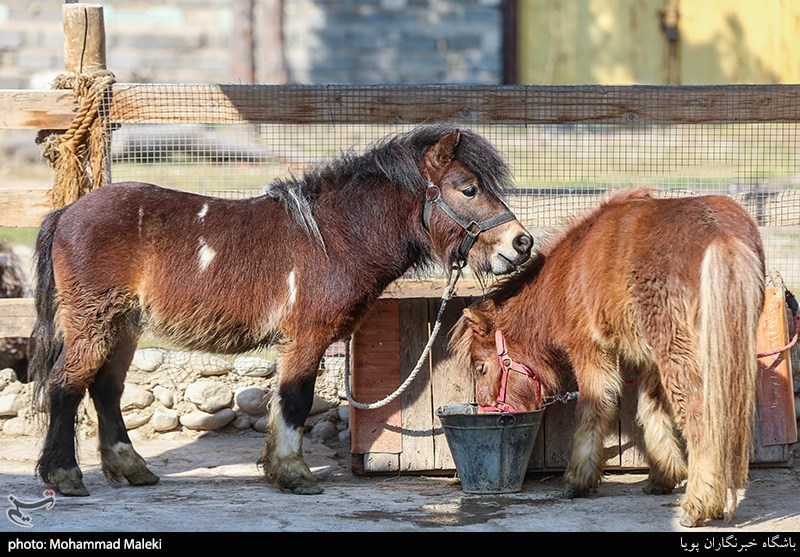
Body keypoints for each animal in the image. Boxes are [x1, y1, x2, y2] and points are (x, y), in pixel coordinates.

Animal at [31, 125, 536, 496]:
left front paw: (278, 468)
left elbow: (283, 400)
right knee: (66, 386)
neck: (334, 237)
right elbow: (295, 398)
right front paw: (295, 474)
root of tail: (67, 212)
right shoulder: (306, 338)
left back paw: (132, 468)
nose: (522, 243)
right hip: (93, 322)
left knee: (105, 390)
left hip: (124, 325)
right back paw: (64, 476)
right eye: (468, 188)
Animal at [454, 187, 764, 524]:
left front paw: (578, 480)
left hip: (679, 353)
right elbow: (651, 409)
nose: (488, 413)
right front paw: (663, 475)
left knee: (700, 419)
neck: (565, 271)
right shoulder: (648, 359)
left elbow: (593, 407)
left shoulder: (589, 349)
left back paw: (698, 504)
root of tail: (720, 235)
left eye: (481, 367)